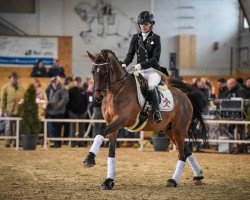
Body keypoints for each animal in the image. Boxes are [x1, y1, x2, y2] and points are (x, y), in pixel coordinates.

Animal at [83, 49, 206, 190]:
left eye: (104, 72)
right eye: (93, 71)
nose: (98, 96)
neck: (116, 91)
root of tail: (185, 96)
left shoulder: (120, 120)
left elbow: (101, 132)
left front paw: (90, 159)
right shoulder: (112, 124)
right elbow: (111, 152)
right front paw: (109, 181)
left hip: (179, 130)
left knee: (182, 154)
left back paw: (173, 180)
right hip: (169, 130)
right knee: (187, 151)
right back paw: (198, 176)